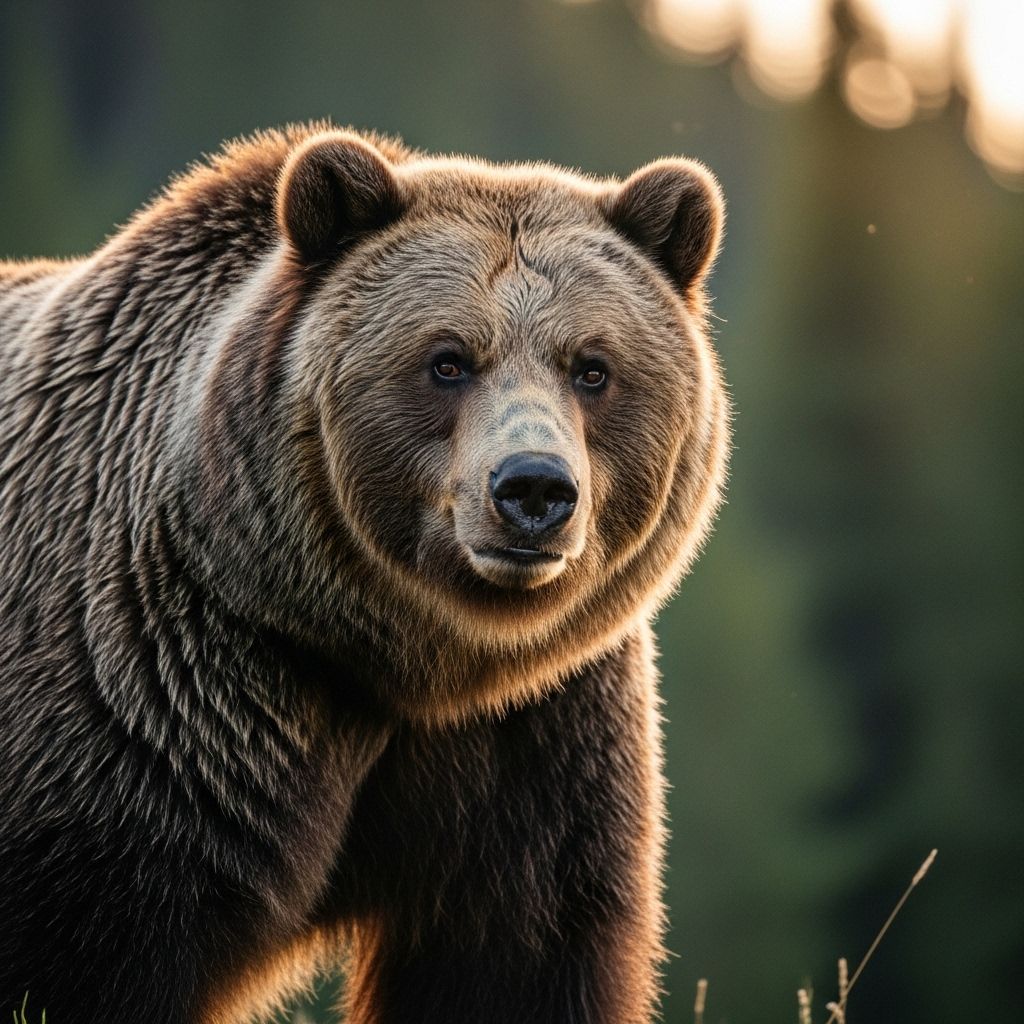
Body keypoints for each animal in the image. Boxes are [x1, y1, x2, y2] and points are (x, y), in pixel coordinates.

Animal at [0, 124, 729, 1024]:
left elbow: (518, 960)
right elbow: (87, 954)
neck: (405, 662)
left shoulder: (536, 739)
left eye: (592, 366)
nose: (533, 489)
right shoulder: (157, 708)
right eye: (448, 360)